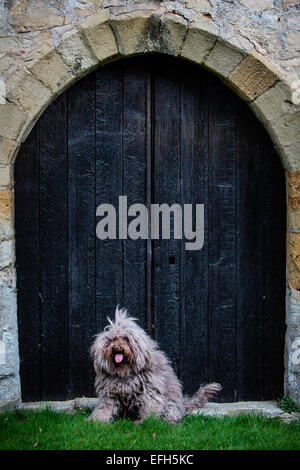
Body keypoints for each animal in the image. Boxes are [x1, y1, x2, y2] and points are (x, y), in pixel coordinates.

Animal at [89, 306, 220, 424]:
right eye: (111, 340)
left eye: (126, 338)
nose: (116, 348)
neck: (125, 373)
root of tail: (183, 404)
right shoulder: (110, 394)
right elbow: (104, 408)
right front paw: (96, 420)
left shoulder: (150, 392)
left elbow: (150, 407)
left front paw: (147, 421)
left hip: (171, 404)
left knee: (172, 414)